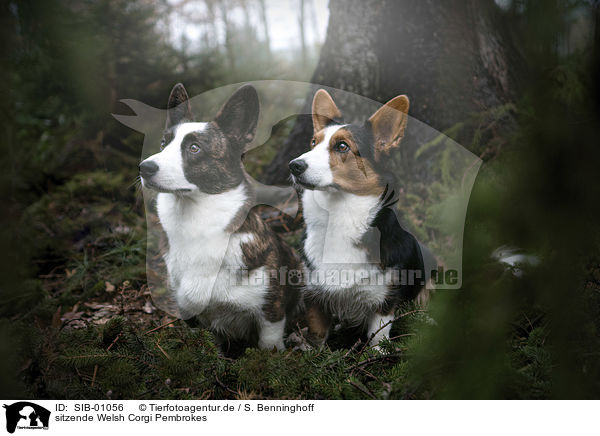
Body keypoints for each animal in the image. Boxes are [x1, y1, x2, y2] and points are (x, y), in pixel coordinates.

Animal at [139, 83, 300, 352]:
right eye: (163, 143)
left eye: (194, 148)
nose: (143, 168)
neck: (195, 221)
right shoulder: (191, 315)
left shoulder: (270, 315)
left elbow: (269, 346)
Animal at [288, 90, 432, 350]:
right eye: (313, 143)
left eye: (342, 146)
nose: (293, 165)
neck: (338, 215)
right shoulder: (315, 295)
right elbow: (317, 333)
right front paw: (312, 351)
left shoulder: (383, 299)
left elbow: (378, 336)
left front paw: (379, 353)